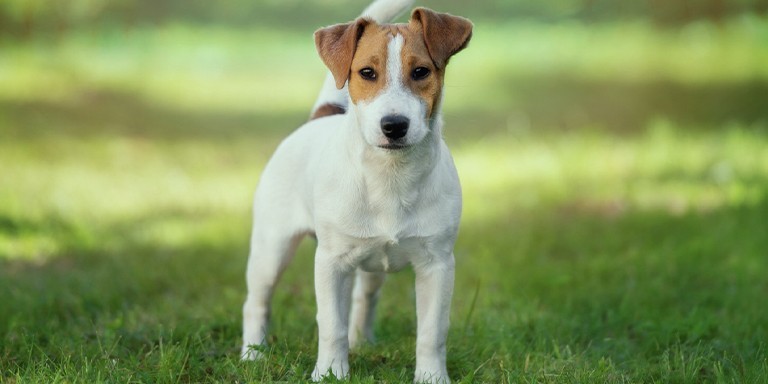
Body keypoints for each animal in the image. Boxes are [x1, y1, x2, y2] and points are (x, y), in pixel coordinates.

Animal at [240, 1, 472, 382]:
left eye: (421, 71)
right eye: (366, 72)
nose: (394, 125)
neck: (390, 177)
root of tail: (319, 117)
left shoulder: (437, 264)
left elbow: (432, 331)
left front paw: (431, 376)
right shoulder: (331, 263)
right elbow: (330, 324)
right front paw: (330, 373)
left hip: (370, 267)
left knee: (363, 300)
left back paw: (360, 341)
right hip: (271, 249)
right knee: (257, 302)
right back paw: (252, 355)